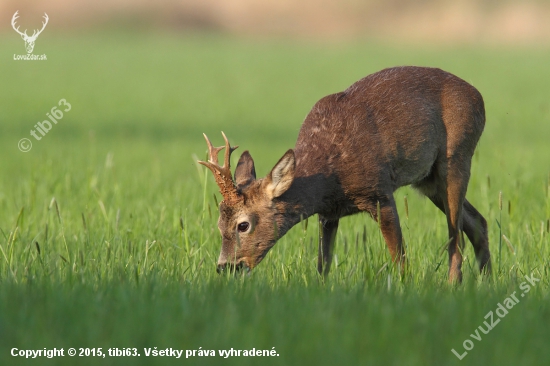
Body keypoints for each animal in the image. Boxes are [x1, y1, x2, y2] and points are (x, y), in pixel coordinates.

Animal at [201, 66, 494, 284]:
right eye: (219, 225)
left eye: (243, 225)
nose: (226, 267)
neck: (329, 178)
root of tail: (479, 96)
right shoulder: (328, 214)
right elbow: (323, 264)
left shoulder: (379, 192)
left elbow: (399, 256)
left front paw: (405, 288)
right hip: (428, 180)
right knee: (477, 222)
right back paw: (487, 282)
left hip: (457, 157)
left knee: (455, 235)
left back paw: (454, 285)